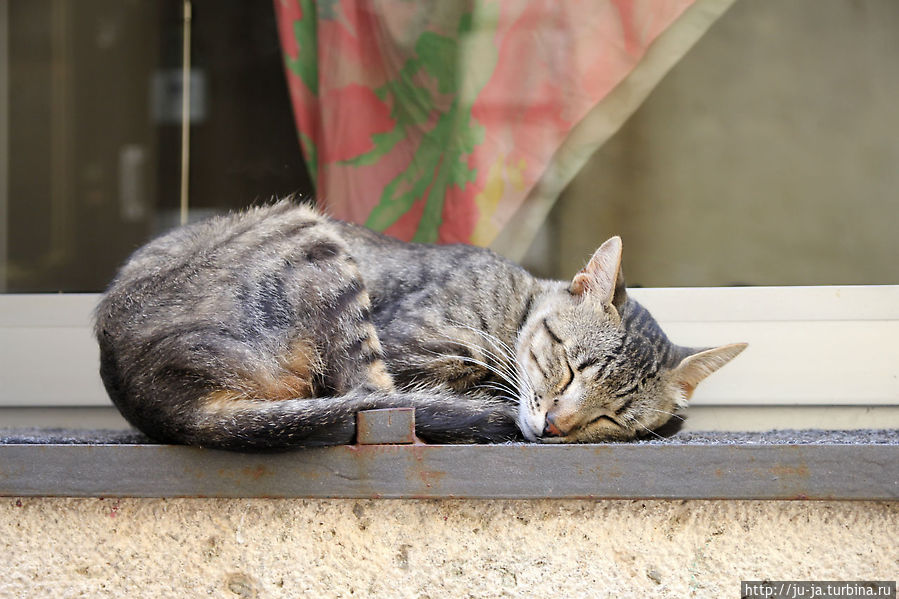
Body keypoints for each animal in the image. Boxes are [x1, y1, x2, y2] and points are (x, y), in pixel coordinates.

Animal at [95, 200, 748, 450]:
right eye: (568, 369)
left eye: (612, 418)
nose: (556, 426)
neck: (515, 301)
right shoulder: (413, 347)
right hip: (311, 236)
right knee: (378, 403)